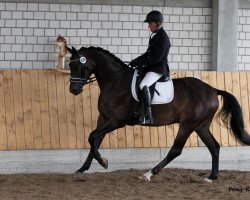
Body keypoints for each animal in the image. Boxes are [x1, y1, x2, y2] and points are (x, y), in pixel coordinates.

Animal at [65, 45, 249, 181]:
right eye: (70, 65)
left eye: (77, 65)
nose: (74, 90)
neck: (115, 81)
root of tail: (212, 90)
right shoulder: (103, 118)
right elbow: (95, 139)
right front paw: (83, 168)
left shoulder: (116, 121)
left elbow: (92, 137)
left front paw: (103, 162)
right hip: (201, 126)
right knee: (214, 146)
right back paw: (211, 177)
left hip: (188, 124)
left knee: (176, 150)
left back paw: (149, 173)